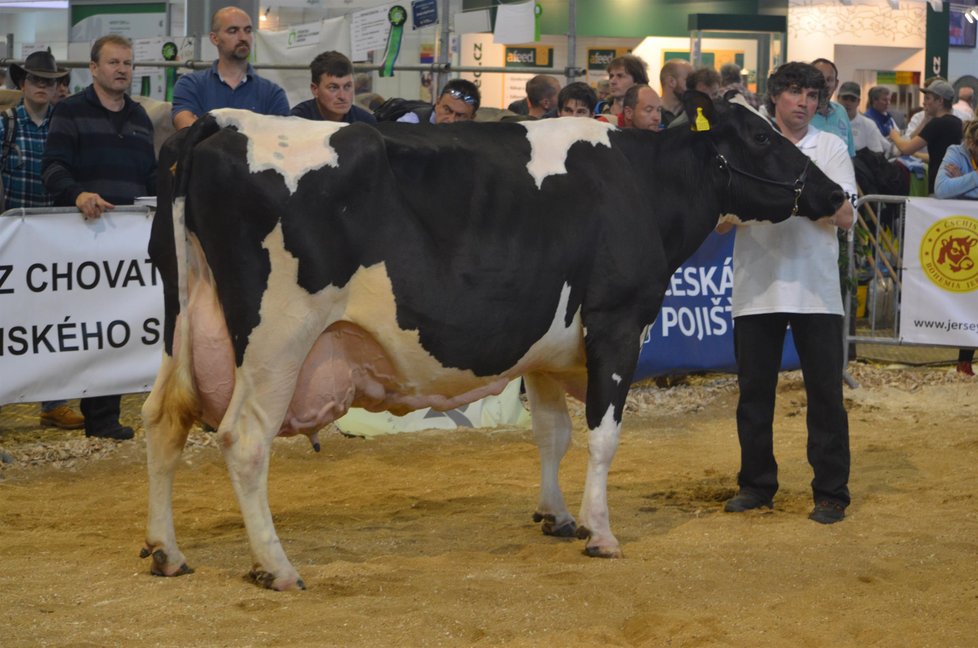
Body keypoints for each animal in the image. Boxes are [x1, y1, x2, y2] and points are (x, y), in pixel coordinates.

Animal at [141, 92, 844, 592]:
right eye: (761, 135)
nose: (838, 192)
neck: (643, 184)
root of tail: (221, 122)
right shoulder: (617, 321)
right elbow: (603, 435)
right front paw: (601, 532)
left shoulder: (548, 347)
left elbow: (553, 434)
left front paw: (557, 516)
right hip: (278, 337)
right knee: (244, 438)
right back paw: (277, 567)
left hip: (181, 322)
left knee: (162, 421)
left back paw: (166, 552)